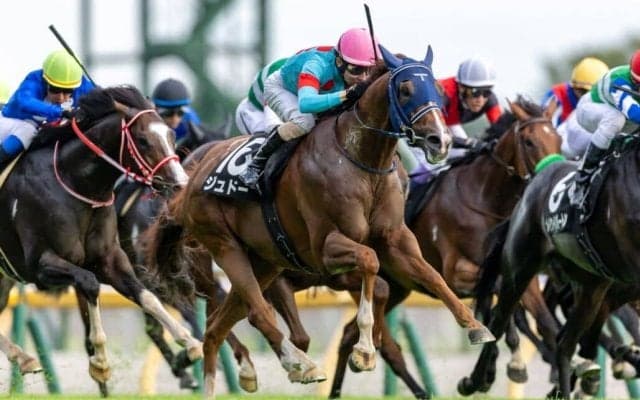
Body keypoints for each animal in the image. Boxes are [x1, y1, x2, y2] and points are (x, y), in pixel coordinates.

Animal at [0, 85, 202, 386]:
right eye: (143, 140)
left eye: (171, 135)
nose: (180, 185)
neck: (75, 182)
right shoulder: (40, 264)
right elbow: (90, 283)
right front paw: (101, 363)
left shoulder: (110, 260)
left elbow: (148, 297)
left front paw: (189, 342)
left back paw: (24, 358)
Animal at [148, 45, 495, 398]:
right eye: (405, 89)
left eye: (438, 90)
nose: (440, 141)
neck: (362, 161)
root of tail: (191, 179)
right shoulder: (326, 247)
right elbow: (370, 262)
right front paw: (364, 350)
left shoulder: (396, 240)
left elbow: (432, 276)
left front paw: (475, 326)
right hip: (224, 245)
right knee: (258, 313)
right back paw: (301, 365)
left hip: (264, 261)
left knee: (216, 329)